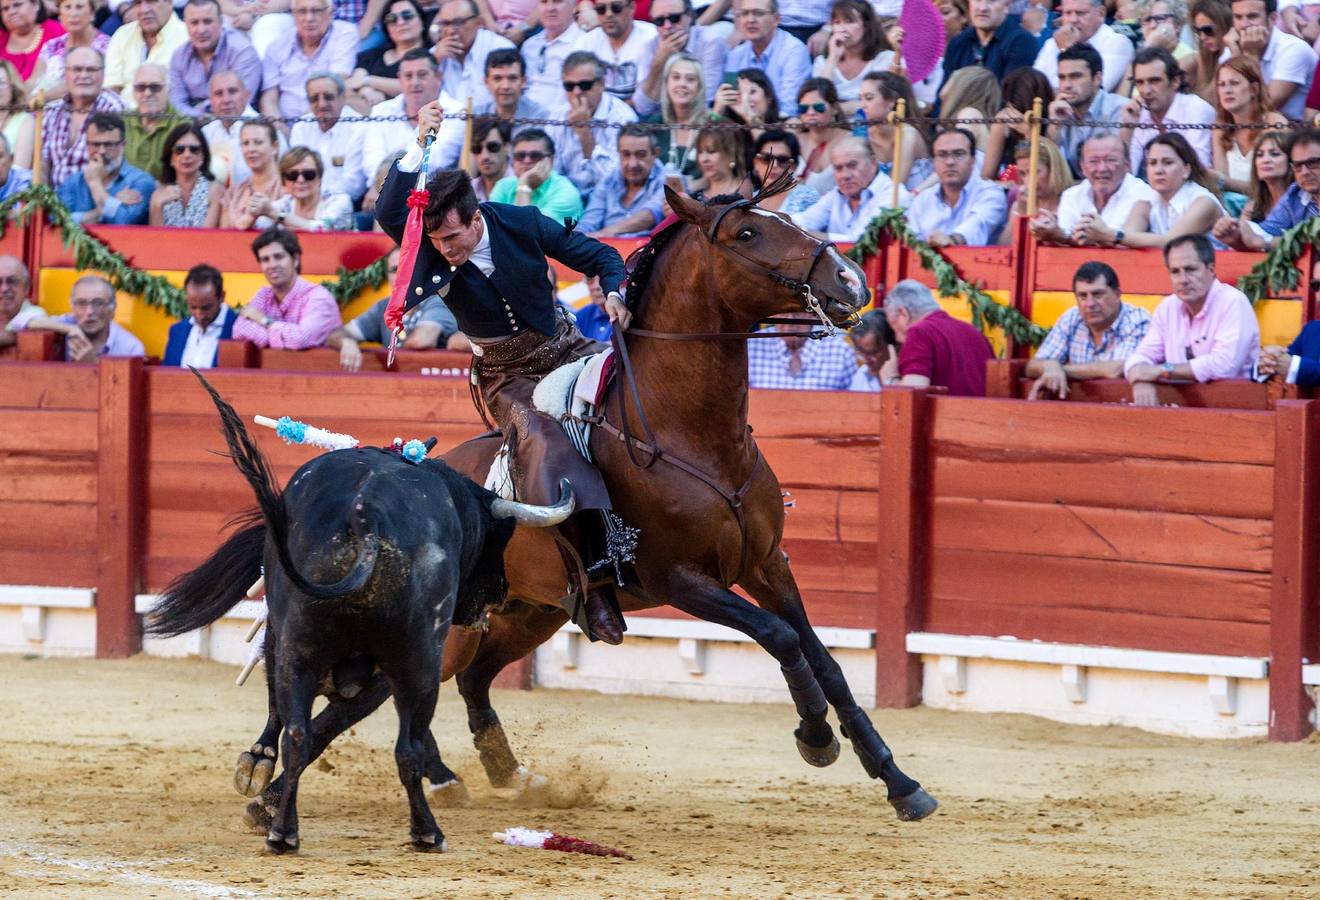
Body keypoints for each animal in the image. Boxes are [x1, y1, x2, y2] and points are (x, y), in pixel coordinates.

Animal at [149, 374, 572, 849]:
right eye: (497, 537)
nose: (498, 593)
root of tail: (366, 522)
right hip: (419, 656)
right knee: (401, 737)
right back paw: (430, 820)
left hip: (306, 643)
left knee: (306, 730)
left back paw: (280, 816)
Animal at [443, 188, 939, 818]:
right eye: (747, 233)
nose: (852, 279)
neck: (691, 434)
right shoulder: (681, 579)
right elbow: (779, 637)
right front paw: (815, 737)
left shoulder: (766, 563)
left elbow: (822, 656)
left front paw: (898, 780)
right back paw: (441, 780)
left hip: (535, 610)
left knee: (473, 679)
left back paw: (509, 775)